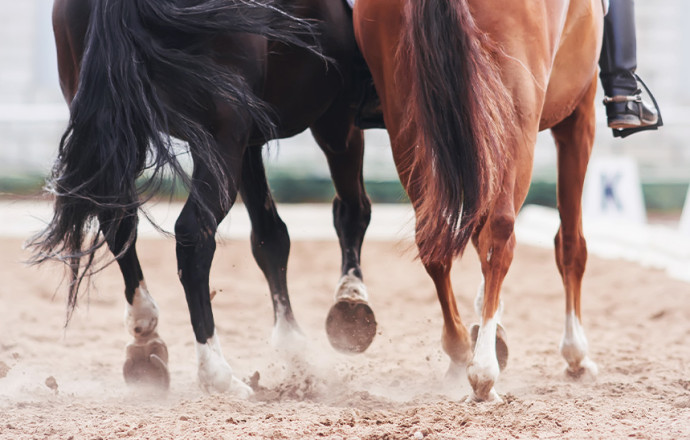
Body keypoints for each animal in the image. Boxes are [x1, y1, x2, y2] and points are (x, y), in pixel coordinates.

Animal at [31, 0, 379, 394]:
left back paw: (145, 339)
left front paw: (295, 349)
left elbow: (270, 237)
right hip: (222, 135)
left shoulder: (250, 140)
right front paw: (350, 304)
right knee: (193, 233)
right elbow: (351, 210)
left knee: (119, 221)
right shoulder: (335, 118)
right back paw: (217, 372)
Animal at [354, 0, 604, 401]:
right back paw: (484, 372)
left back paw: (461, 350)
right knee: (500, 234)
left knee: (432, 237)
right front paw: (576, 353)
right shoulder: (579, 114)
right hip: (515, 112)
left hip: (405, 113)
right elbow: (570, 244)